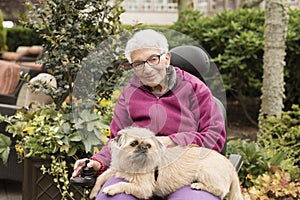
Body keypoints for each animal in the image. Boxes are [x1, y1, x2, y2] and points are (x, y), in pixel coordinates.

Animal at [89, 127, 244, 199]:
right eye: (134, 143)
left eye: (149, 145)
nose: (144, 148)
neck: (130, 163)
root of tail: (230, 165)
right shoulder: (115, 169)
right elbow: (101, 177)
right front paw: (93, 192)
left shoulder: (144, 188)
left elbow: (123, 184)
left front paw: (111, 188)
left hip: (205, 171)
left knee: (219, 190)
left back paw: (198, 185)